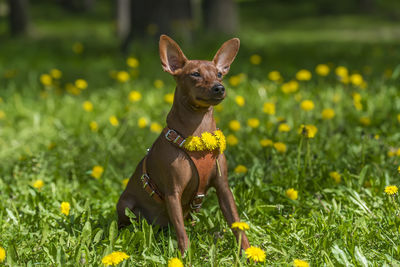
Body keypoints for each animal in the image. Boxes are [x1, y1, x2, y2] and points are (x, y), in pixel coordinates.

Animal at [116, 34, 250, 254]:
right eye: (195, 74)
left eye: (219, 75)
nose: (219, 87)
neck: (198, 132)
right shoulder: (173, 193)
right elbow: (181, 232)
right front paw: (185, 255)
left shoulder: (223, 188)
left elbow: (236, 224)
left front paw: (247, 252)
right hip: (126, 205)